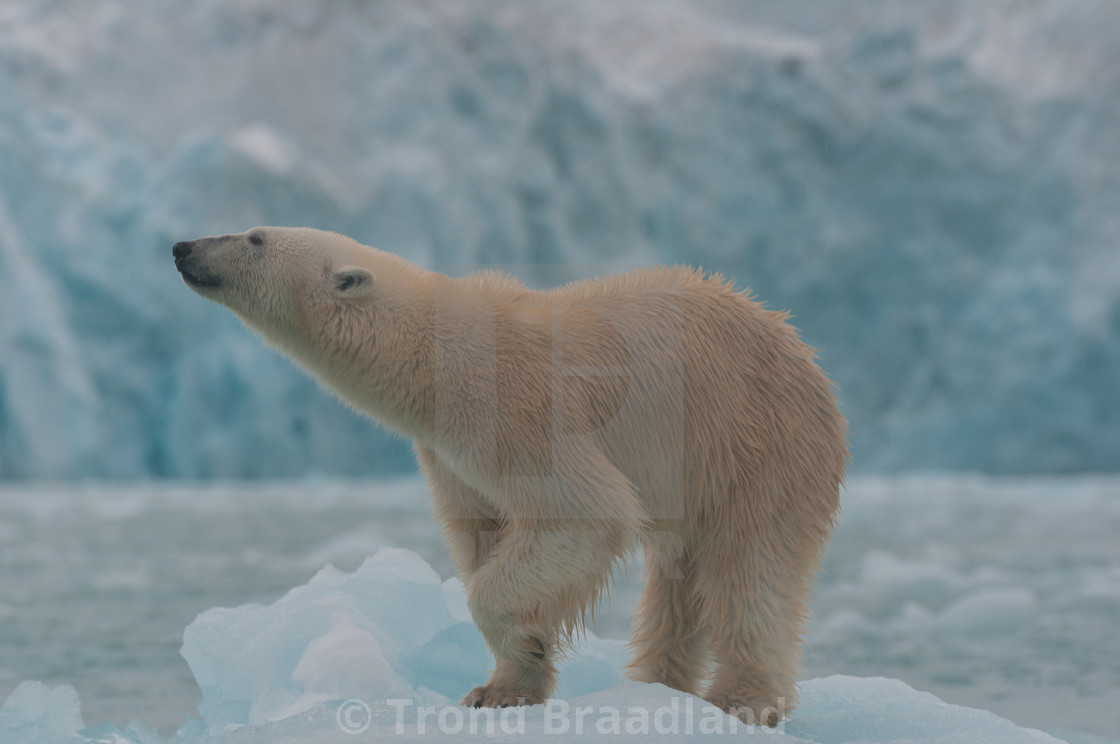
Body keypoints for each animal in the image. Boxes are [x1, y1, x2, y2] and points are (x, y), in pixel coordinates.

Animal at [170, 226, 842, 726]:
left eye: (255, 237)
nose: (183, 247)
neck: (434, 357)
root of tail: (802, 349)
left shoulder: (518, 407)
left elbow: (580, 512)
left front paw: (524, 648)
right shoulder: (447, 453)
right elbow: (480, 531)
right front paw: (501, 689)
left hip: (759, 442)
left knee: (750, 568)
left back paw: (744, 700)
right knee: (678, 578)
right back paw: (656, 684)